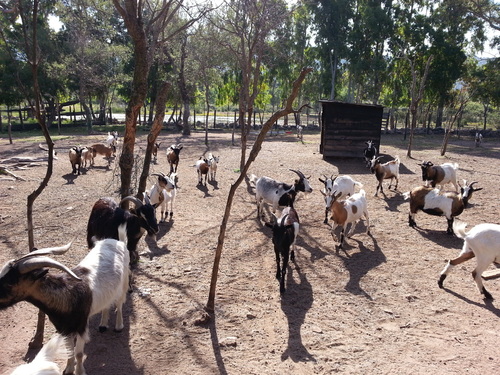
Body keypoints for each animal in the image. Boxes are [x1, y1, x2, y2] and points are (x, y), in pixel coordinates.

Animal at [0, 223, 131, 375]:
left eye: (10, 283)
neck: (66, 294)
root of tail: (119, 241)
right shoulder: (64, 328)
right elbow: (69, 351)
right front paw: (68, 370)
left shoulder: (81, 326)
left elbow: (78, 353)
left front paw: (79, 372)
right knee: (107, 304)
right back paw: (103, 325)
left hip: (124, 282)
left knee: (120, 303)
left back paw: (118, 326)